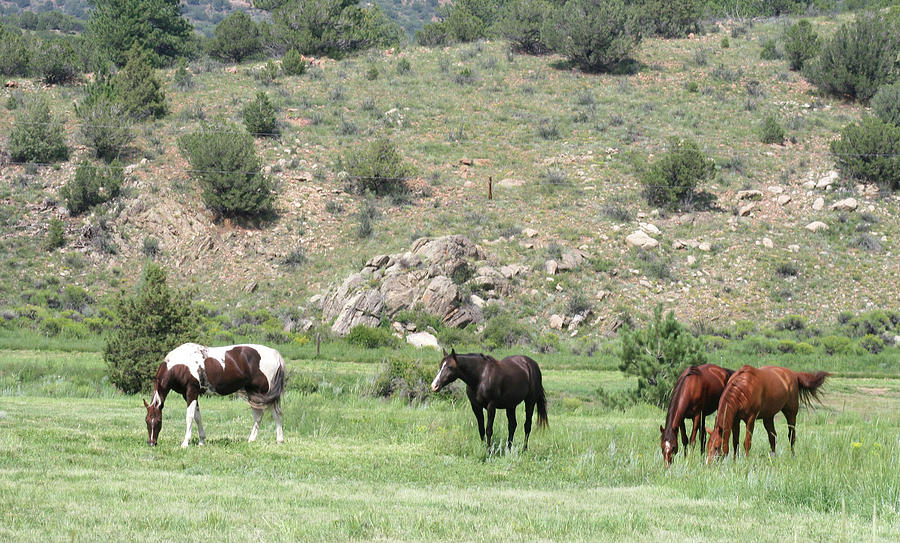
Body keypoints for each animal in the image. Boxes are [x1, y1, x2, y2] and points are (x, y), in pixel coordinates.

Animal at [143, 342, 284, 448]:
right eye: (146, 420)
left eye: (159, 421)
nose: (151, 443)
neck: (181, 364)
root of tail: (275, 354)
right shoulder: (189, 395)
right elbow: (197, 417)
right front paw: (201, 441)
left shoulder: (191, 392)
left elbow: (190, 417)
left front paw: (185, 443)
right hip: (253, 394)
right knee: (258, 416)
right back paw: (251, 440)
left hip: (265, 395)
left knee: (276, 414)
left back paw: (279, 440)